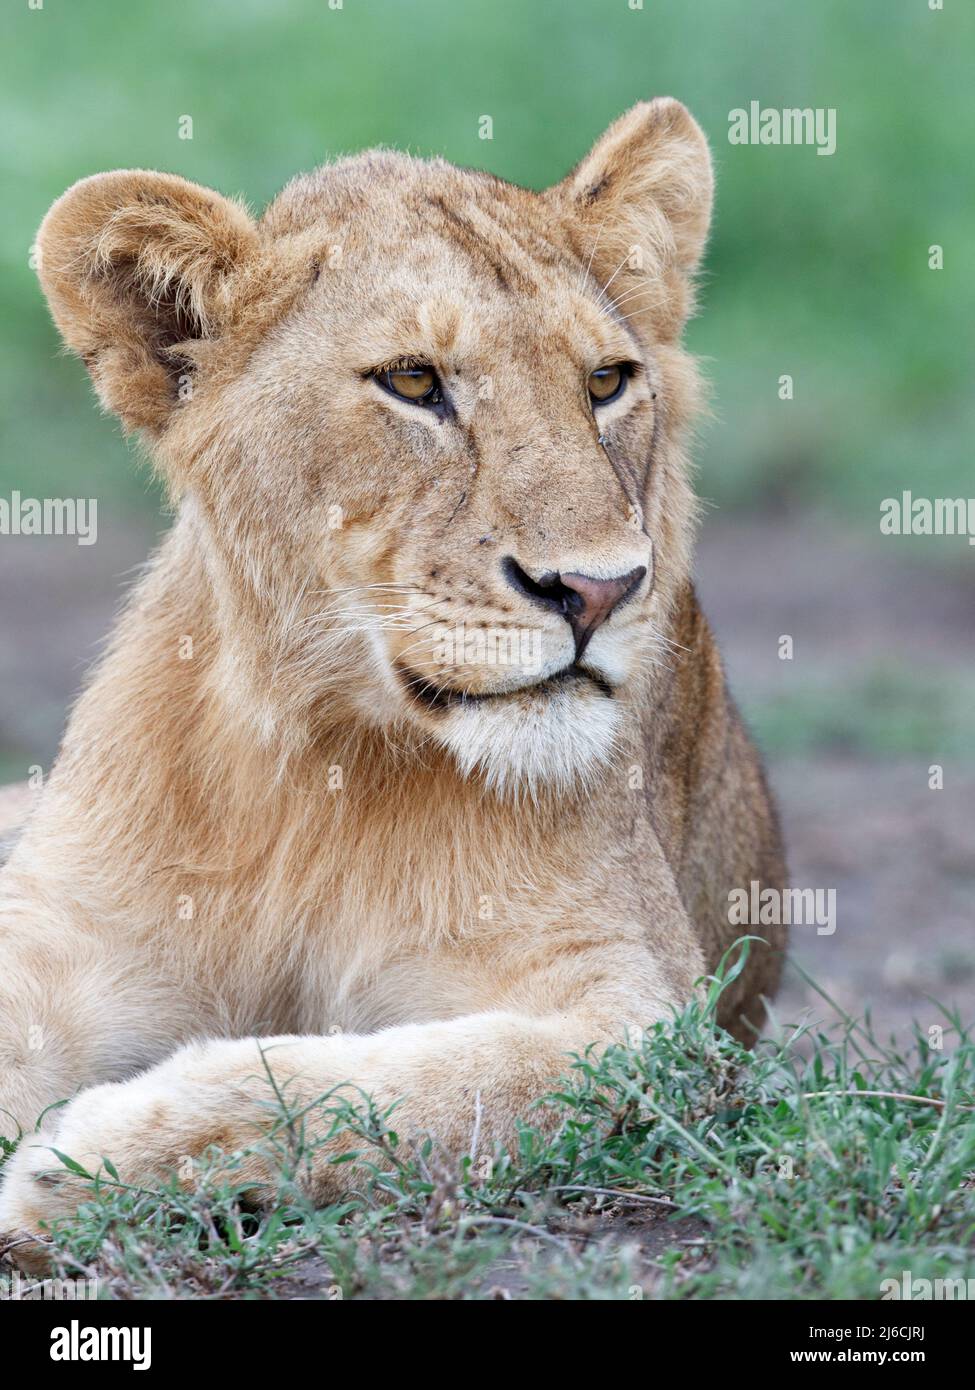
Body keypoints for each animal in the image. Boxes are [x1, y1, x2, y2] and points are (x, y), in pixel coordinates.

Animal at [0, 95, 784, 1251]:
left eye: (606, 382)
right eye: (414, 382)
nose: (597, 590)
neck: (322, 763)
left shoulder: (649, 1014)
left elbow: (421, 1085)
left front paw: (93, 1153)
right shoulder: (60, 933)